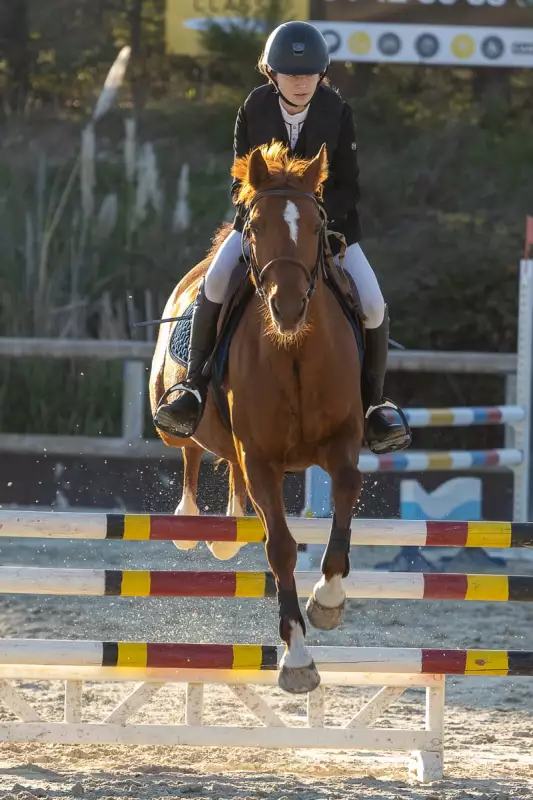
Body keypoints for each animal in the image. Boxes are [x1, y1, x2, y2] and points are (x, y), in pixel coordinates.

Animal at [152, 142, 364, 692]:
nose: (287, 308)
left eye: (315, 226)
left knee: (228, 469)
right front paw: (297, 658)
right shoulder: (262, 459)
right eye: (256, 228)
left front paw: (328, 600)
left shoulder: (342, 442)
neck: (295, 350)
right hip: (173, 421)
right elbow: (282, 548)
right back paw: (190, 522)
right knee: (190, 450)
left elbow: (347, 491)